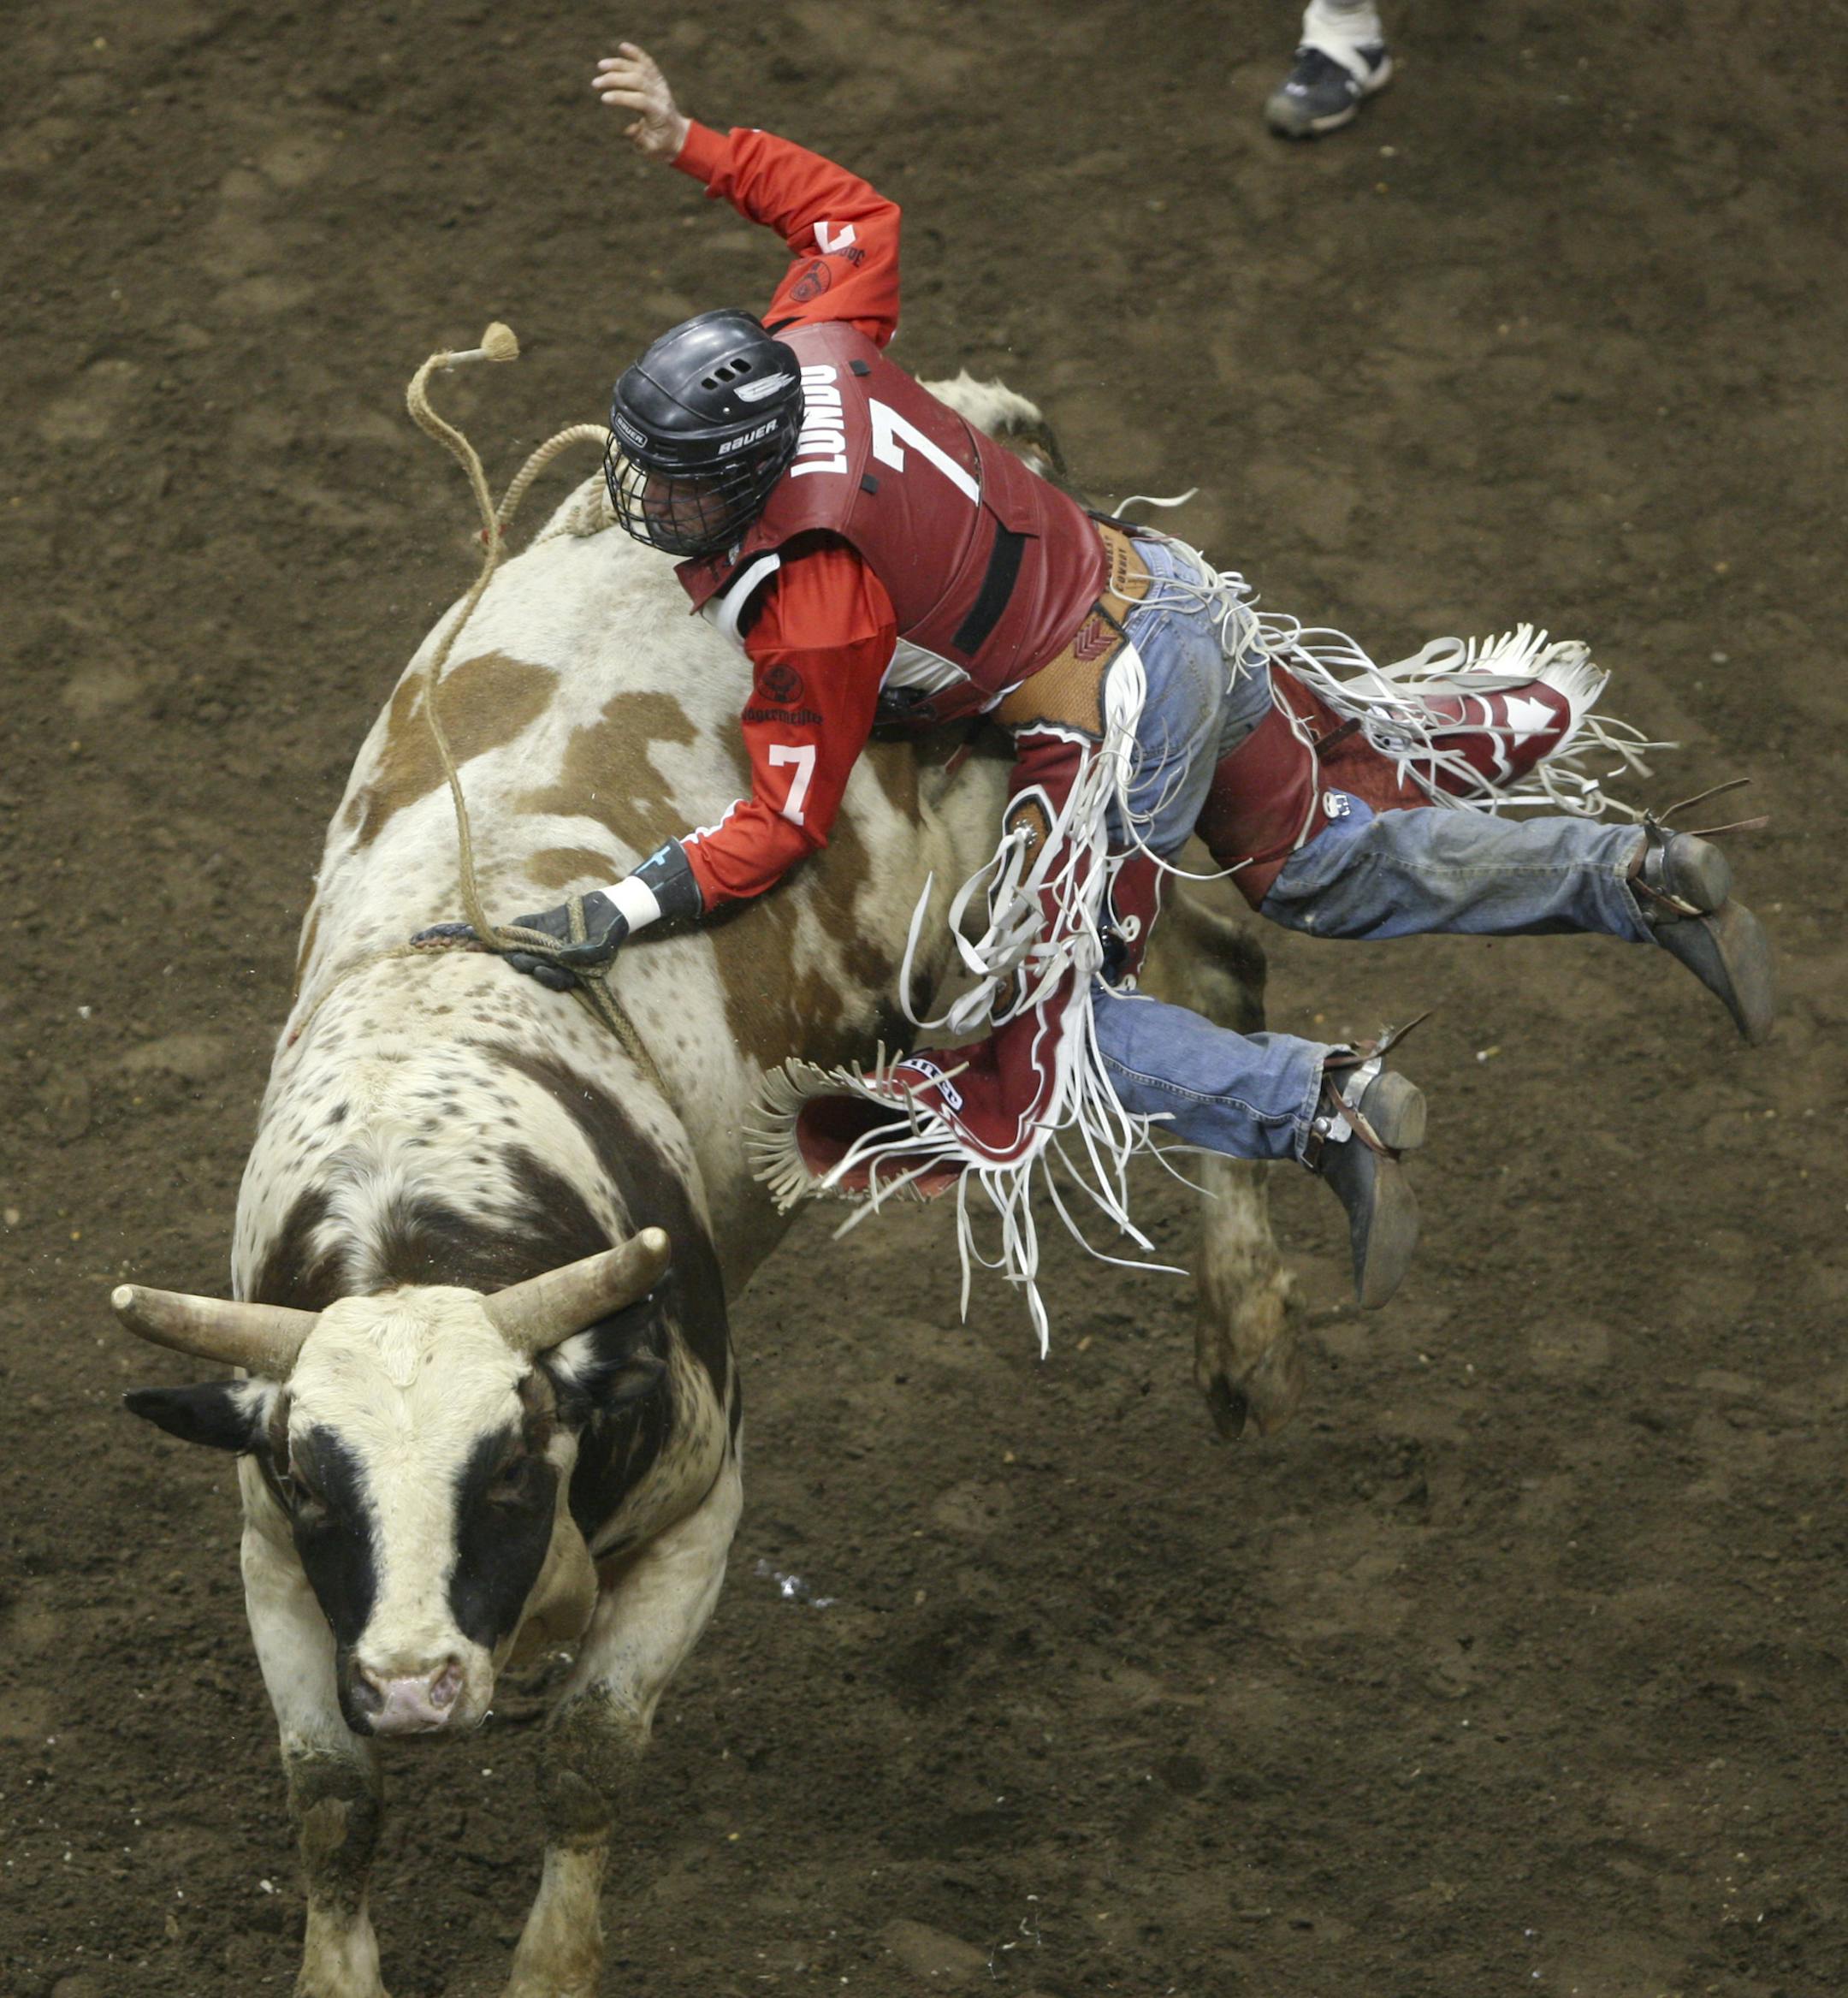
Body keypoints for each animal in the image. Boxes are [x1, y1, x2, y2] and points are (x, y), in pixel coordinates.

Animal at [113, 378, 1297, 1998]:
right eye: (313, 1477)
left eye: (508, 1463)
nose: (418, 1687)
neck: (427, 1153)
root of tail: (985, 417)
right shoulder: (280, 1566)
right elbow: (334, 1801)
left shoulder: (697, 1522)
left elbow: (589, 1763)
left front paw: (551, 1960)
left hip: (1036, 866)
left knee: (1204, 968)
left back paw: (1243, 1328)